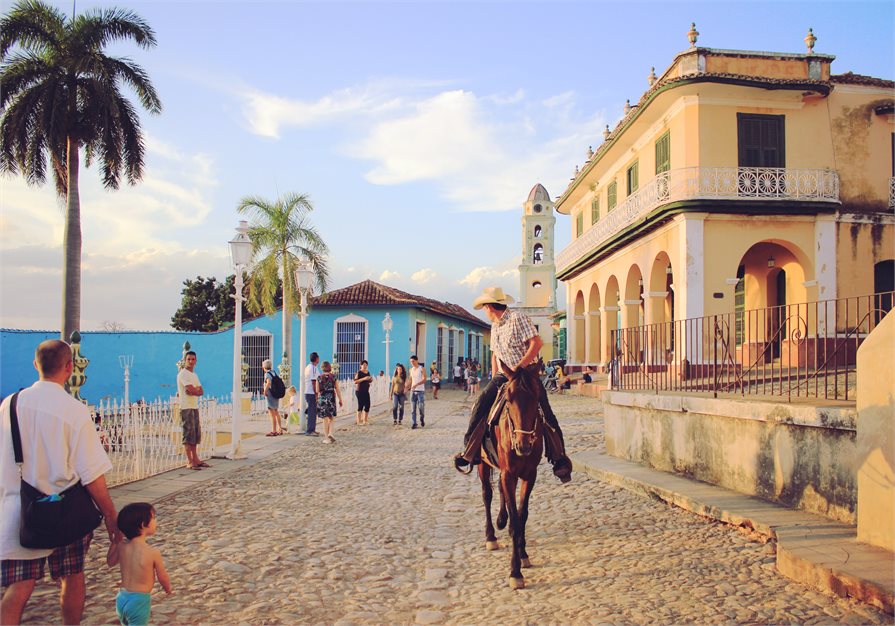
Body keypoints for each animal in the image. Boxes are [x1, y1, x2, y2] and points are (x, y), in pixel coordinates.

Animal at [480, 364, 544, 588]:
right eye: (508, 399)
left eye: (536, 397)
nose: (523, 446)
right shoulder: (508, 473)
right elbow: (516, 521)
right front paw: (515, 572)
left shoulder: (529, 475)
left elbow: (522, 515)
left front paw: (523, 554)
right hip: (482, 464)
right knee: (487, 494)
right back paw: (491, 536)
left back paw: (502, 521)